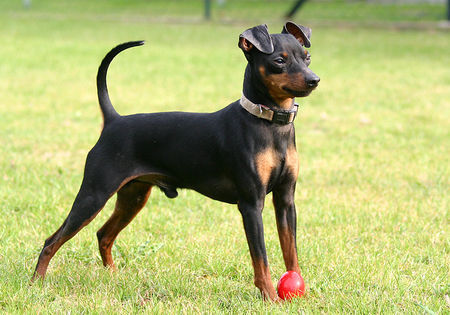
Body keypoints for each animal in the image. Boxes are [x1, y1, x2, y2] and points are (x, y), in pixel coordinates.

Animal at [31, 21, 320, 302]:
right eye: (279, 61)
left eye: (307, 57)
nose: (314, 80)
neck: (269, 123)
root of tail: (114, 120)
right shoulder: (251, 205)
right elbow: (261, 258)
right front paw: (270, 295)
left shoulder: (285, 201)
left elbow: (290, 251)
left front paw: (298, 291)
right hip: (94, 195)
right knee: (51, 241)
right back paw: (37, 283)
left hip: (134, 197)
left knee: (104, 234)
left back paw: (112, 275)